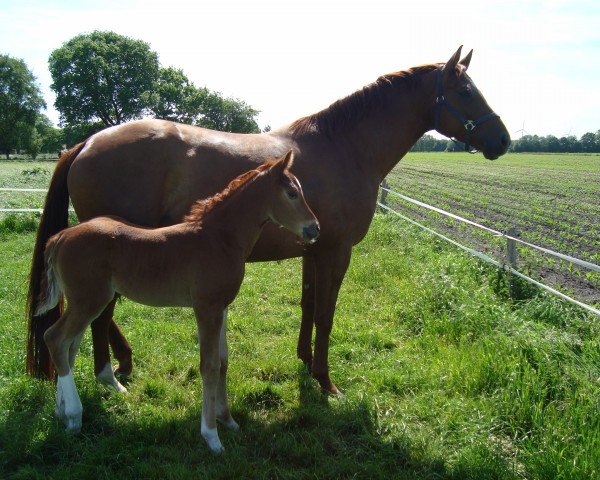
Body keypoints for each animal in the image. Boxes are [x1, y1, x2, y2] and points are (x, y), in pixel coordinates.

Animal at [35, 152, 318, 452]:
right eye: (292, 193)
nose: (314, 229)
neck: (220, 238)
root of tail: (60, 237)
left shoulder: (222, 308)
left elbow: (223, 362)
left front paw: (227, 420)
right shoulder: (206, 308)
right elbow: (209, 366)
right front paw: (212, 436)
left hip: (84, 302)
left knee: (69, 346)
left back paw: (61, 411)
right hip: (89, 300)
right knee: (55, 339)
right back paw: (74, 416)